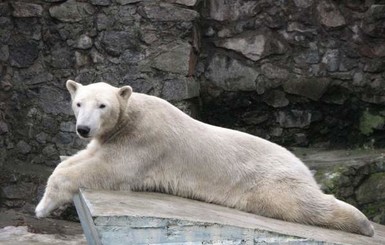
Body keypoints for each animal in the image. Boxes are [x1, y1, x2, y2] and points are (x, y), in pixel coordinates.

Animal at [35, 80, 372, 237]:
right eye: (79, 103)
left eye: (102, 105)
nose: (83, 128)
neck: (130, 116)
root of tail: (301, 164)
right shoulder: (111, 138)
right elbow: (79, 158)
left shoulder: (143, 141)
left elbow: (106, 169)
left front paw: (42, 207)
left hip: (266, 179)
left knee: (298, 202)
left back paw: (364, 223)